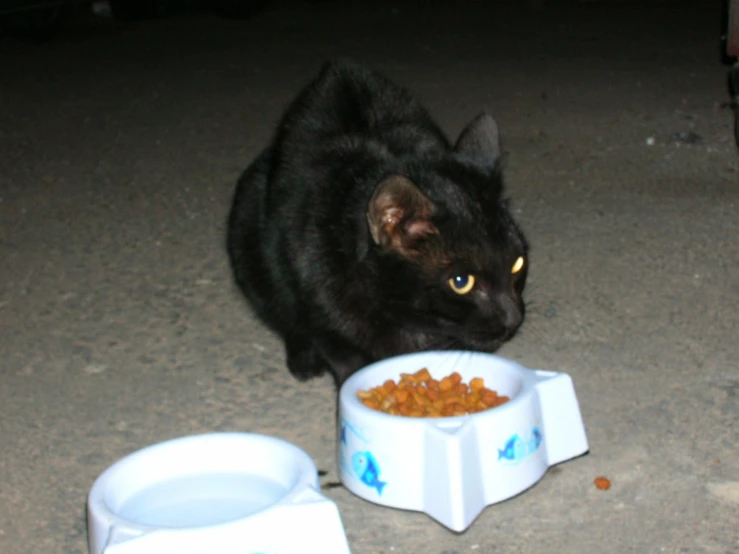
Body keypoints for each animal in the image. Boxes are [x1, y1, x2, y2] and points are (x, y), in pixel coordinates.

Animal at [228, 59, 528, 384]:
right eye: (461, 282)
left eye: (517, 264)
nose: (513, 319)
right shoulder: (319, 314)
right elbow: (344, 359)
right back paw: (303, 359)